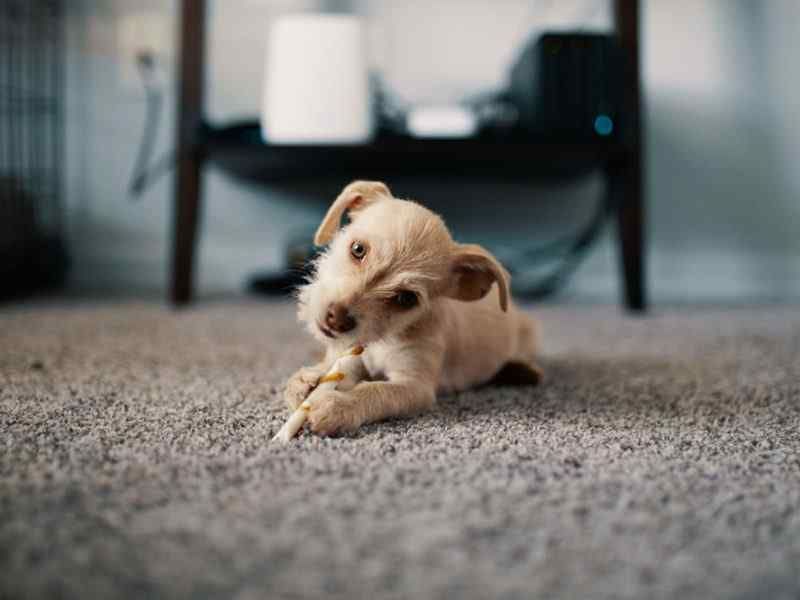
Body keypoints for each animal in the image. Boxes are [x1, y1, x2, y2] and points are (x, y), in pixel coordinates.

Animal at [284, 180, 540, 434]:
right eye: (358, 249)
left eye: (406, 299)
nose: (336, 319)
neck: (383, 339)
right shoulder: (350, 357)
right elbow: (332, 368)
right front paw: (308, 379)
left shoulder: (415, 386)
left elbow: (376, 391)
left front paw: (337, 405)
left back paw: (522, 370)